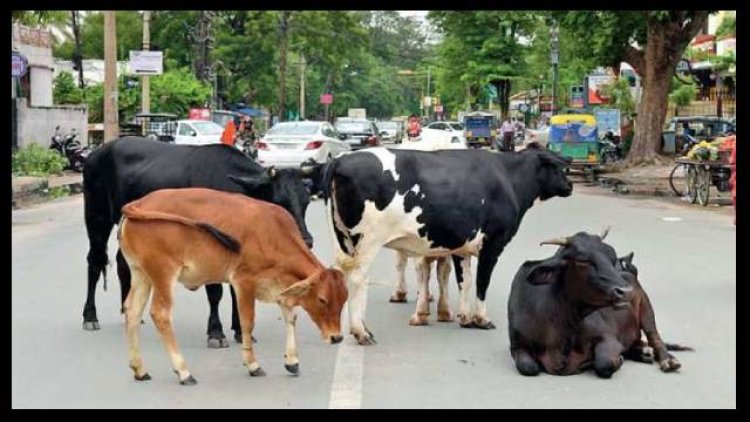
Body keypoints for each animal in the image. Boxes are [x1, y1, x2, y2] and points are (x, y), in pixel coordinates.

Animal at [82, 138, 314, 346]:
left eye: (306, 201)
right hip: (96, 217)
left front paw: (240, 330)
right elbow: (215, 291)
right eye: (280, 202)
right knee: (95, 260)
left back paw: (129, 312)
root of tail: (97, 152)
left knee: (123, 263)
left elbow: (235, 289)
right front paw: (216, 332)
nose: (306, 240)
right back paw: (90, 316)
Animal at [119, 186, 350, 384]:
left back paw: (139, 369)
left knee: (132, 311)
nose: (337, 337)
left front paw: (292, 361)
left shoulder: (279, 287)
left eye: (344, 300)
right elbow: (247, 322)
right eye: (322, 299)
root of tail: (139, 202)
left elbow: (290, 317)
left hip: (141, 274)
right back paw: (183, 371)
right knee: (160, 314)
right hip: (163, 274)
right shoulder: (244, 281)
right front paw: (253, 365)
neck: (274, 234)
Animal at [324, 143, 576, 344]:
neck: (508, 178)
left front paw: (465, 317)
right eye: (558, 167)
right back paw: (361, 332)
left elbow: (464, 281)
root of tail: (341, 159)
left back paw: (362, 328)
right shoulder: (492, 245)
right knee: (358, 279)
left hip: (345, 241)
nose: (570, 186)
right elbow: (482, 282)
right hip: (367, 241)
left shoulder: (461, 246)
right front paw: (481, 319)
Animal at [508, 231, 692, 380]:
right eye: (582, 261)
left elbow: (604, 363)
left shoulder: (608, 338)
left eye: (612, 258)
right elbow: (528, 367)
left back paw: (668, 360)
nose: (625, 291)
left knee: (654, 337)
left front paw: (617, 360)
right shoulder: (517, 346)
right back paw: (643, 352)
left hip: (646, 308)